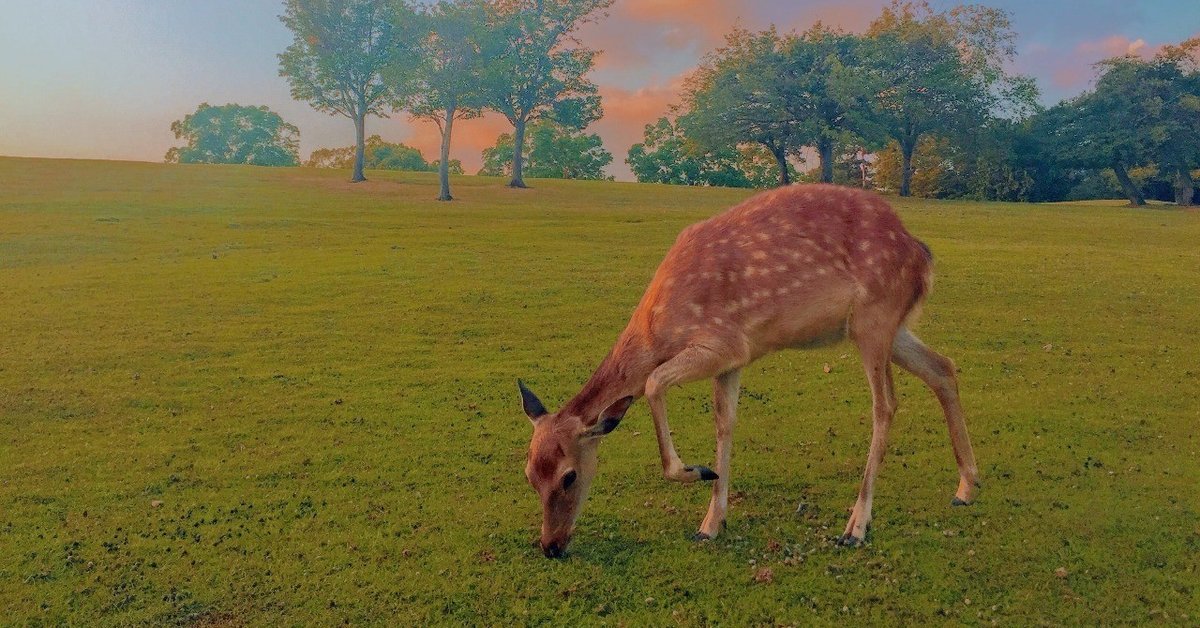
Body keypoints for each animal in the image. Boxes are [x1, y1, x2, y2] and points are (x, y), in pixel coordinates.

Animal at [520, 184, 979, 557]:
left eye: (568, 476)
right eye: (528, 476)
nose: (550, 545)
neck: (659, 327)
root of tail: (922, 255)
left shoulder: (723, 342)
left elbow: (651, 383)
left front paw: (695, 471)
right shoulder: (733, 360)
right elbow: (725, 423)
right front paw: (710, 523)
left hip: (874, 317)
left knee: (886, 405)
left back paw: (857, 525)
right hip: (887, 327)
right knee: (943, 367)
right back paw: (966, 487)